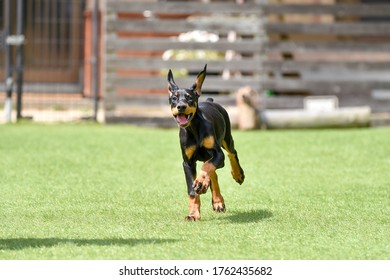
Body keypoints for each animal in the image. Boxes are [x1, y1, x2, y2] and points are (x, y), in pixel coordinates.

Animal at [167, 64, 244, 220]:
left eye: (190, 98)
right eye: (174, 98)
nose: (181, 106)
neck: (194, 129)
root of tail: (209, 100)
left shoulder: (218, 154)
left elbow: (208, 167)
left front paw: (201, 182)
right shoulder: (187, 162)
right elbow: (192, 190)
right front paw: (193, 214)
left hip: (227, 139)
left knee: (231, 153)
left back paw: (237, 174)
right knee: (214, 173)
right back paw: (217, 201)